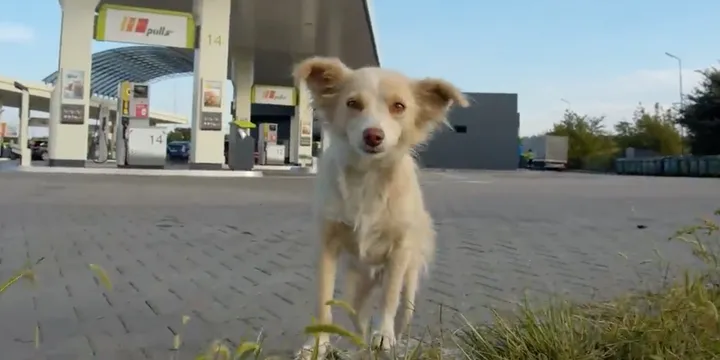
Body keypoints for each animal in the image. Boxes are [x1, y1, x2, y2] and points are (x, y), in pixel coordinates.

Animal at [292, 57, 466, 358]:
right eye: (352, 103)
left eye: (399, 107)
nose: (373, 135)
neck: (368, 177)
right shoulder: (327, 246)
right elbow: (324, 302)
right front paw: (317, 345)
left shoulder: (398, 253)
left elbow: (388, 299)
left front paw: (384, 335)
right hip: (355, 290)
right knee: (358, 319)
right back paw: (361, 342)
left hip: (409, 281)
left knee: (401, 311)